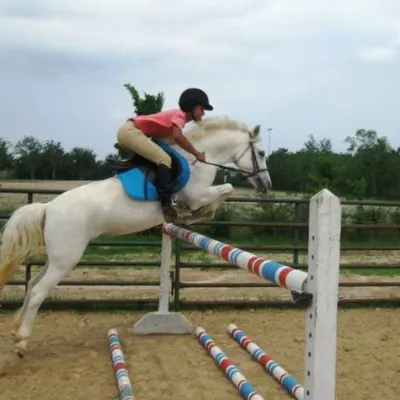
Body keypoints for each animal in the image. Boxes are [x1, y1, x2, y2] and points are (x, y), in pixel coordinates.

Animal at [0, 114, 272, 358]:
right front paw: (194, 213)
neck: (199, 159)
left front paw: (189, 215)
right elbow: (226, 189)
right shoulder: (197, 194)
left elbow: (224, 191)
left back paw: (16, 330)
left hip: (57, 258)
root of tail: (48, 207)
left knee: (32, 284)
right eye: (261, 153)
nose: (267, 184)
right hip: (66, 259)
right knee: (38, 292)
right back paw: (22, 342)